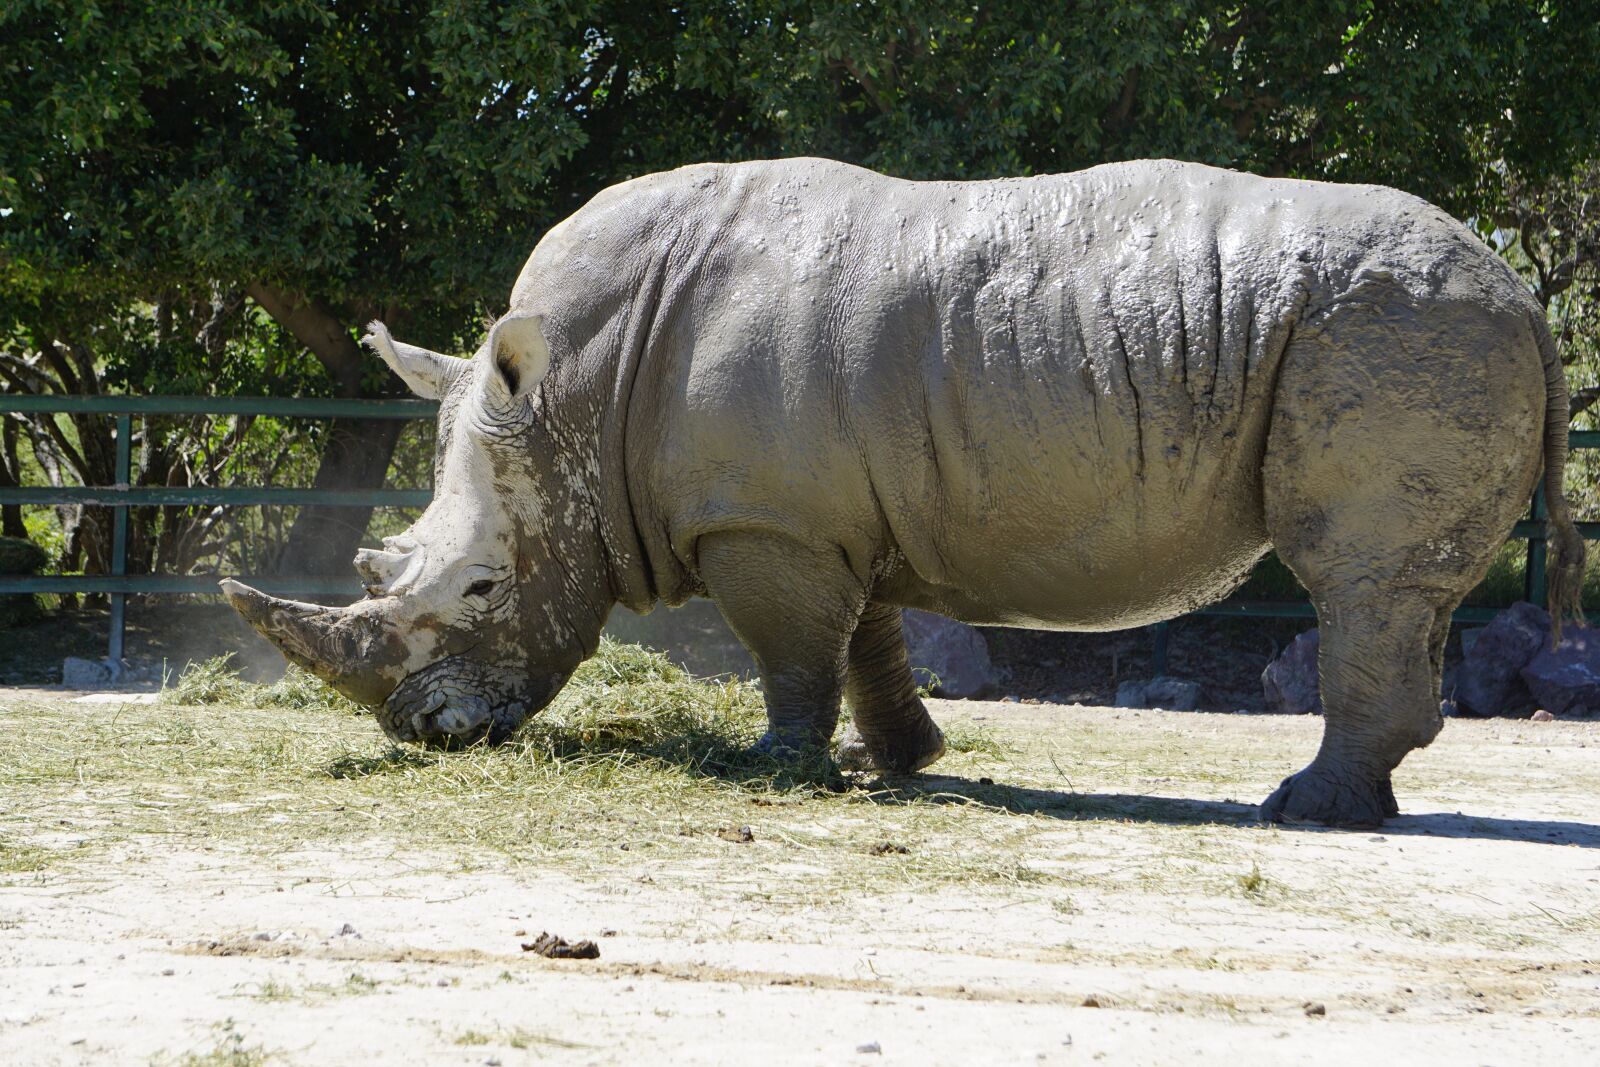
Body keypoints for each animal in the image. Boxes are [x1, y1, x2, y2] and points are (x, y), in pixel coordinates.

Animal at [223, 157, 1584, 829]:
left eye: (482, 584)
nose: (421, 731)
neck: (572, 395)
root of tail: (1523, 292)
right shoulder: (828, 508)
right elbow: (867, 637)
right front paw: (905, 763)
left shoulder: (765, 517)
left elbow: (788, 650)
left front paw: (775, 768)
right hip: (1416, 328)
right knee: (1390, 590)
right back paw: (1353, 801)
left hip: (1397, 329)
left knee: (1356, 575)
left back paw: (1306, 811)